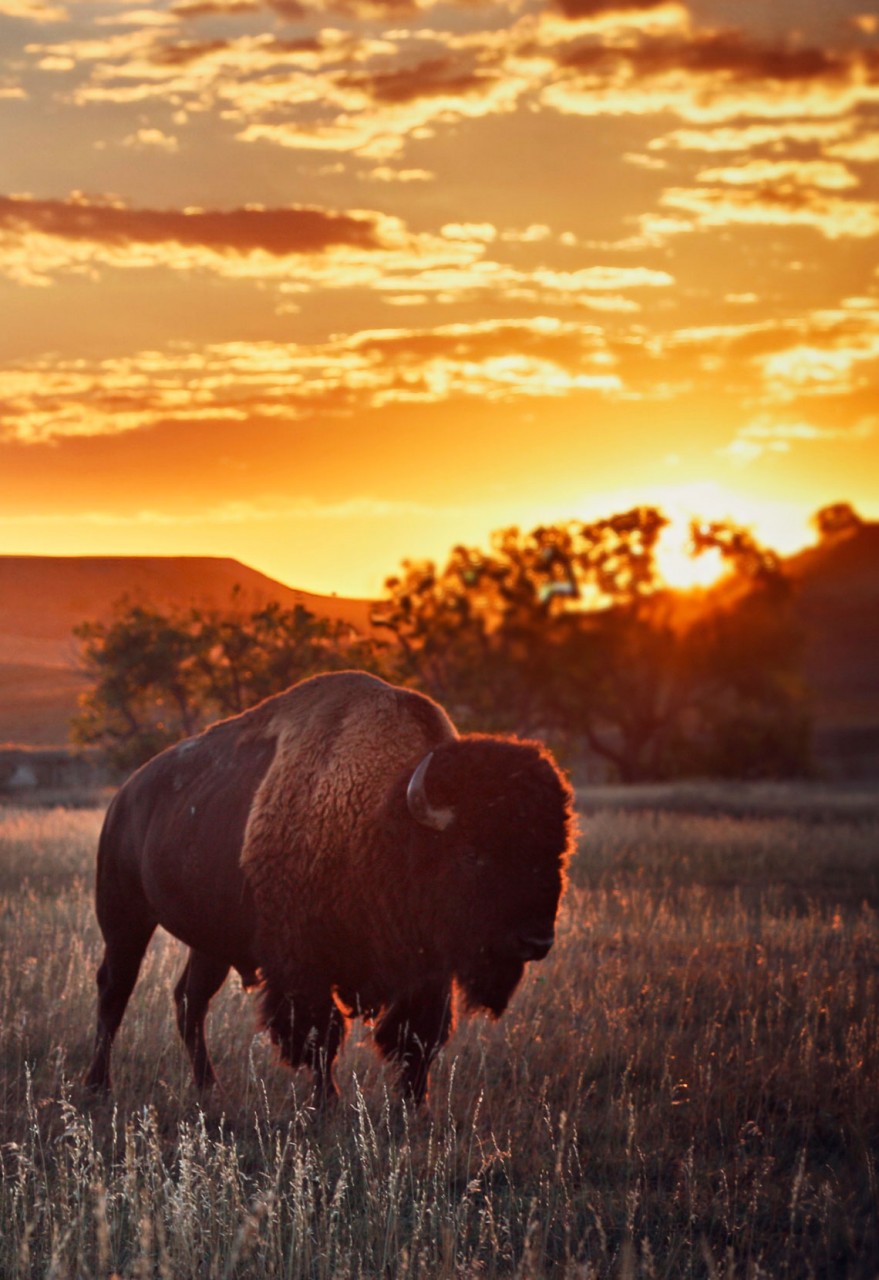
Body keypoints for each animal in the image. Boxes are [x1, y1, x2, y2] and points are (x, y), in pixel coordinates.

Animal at [84, 670, 578, 1100]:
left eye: (556, 854)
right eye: (472, 855)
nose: (535, 941)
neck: (384, 821)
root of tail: (125, 797)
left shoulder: (427, 972)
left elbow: (419, 1039)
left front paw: (412, 1109)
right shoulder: (305, 966)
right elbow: (322, 1038)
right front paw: (329, 1105)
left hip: (211, 942)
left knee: (189, 999)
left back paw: (209, 1087)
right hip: (125, 917)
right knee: (115, 990)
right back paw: (98, 1086)